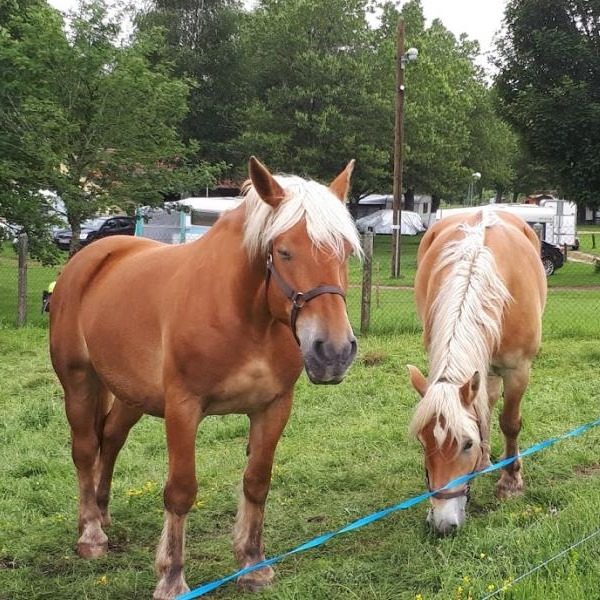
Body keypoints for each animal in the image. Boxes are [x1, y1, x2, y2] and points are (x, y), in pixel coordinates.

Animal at [49, 157, 360, 596]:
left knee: (110, 440)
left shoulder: (273, 407)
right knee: (84, 449)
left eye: (345, 250)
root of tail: (91, 256)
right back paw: (91, 533)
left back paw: (103, 513)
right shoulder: (183, 408)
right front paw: (172, 577)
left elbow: (257, 482)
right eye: (283, 251)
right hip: (78, 382)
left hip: (129, 395)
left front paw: (253, 563)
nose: (333, 352)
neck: (244, 316)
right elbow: (180, 491)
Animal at [410, 210, 548, 536]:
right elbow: (483, 412)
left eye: (466, 444)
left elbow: (510, 423)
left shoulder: (518, 370)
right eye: (423, 442)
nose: (442, 523)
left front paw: (510, 482)